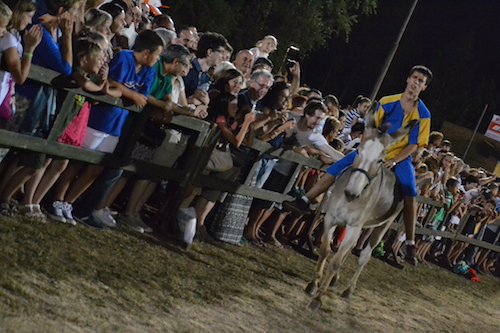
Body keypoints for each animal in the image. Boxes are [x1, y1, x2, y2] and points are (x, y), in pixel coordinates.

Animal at [306, 110, 416, 310]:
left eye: (380, 160)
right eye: (358, 151)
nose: (351, 193)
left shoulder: (353, 226)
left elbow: (335, 262)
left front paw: (318, 297)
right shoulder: (331, 219)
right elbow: (326, 251)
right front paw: (313, 285)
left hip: (382, 226)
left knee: (364, 256)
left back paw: (349, 289)